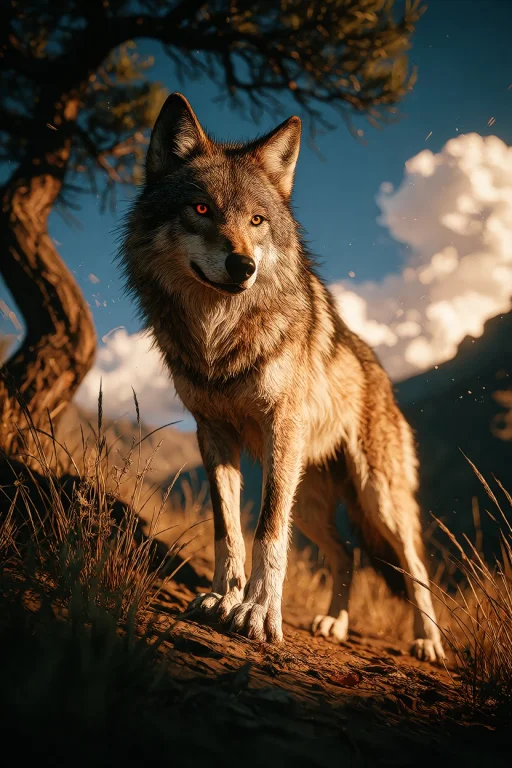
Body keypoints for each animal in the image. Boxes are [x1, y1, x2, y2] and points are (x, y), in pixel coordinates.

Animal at [120, 93, 445, 662]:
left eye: (257, 220)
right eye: (201, 209)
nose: (243, 266)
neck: (219, 336)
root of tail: (379, 369)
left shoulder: (281, 426)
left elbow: (268, 529)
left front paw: (256, 613)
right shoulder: (213, 433)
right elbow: (229, 530)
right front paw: (223, 599)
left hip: (373, 494)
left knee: (413, 564)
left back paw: (427, 641)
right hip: (309, 494)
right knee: (347, 552)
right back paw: (334, 623)